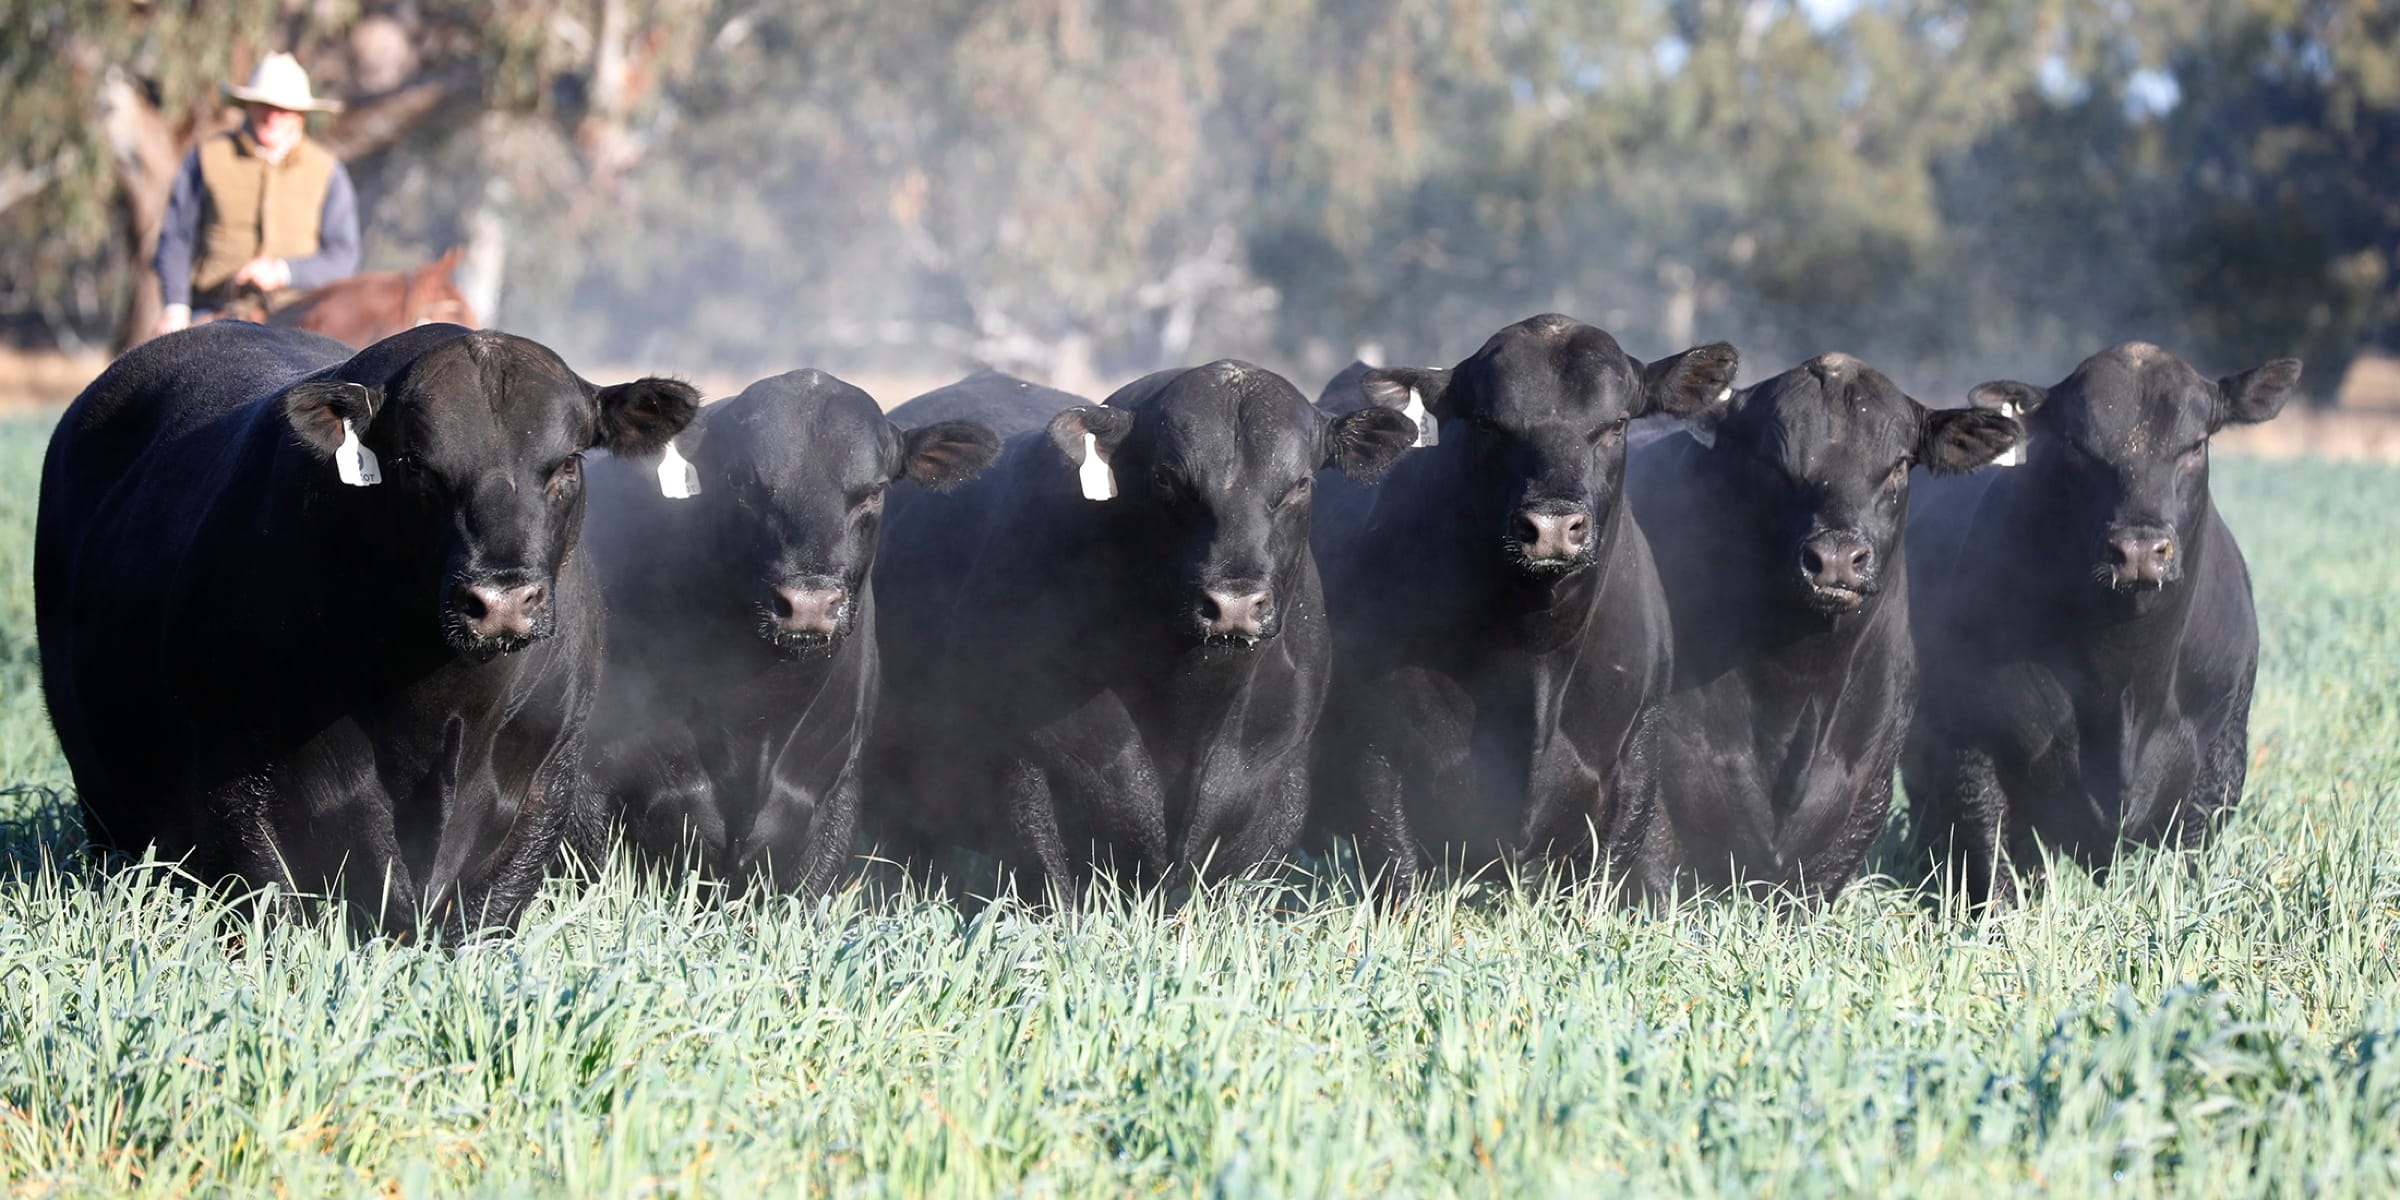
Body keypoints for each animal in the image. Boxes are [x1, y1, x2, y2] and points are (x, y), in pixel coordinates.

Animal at [35, 320, 697, 937]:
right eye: (416, 465)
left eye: (567, 463)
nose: (501, 600)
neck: (442, 714)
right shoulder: (234, 783)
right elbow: (274, 907)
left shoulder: (547, 774)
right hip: (102, 798)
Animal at [868, 363, 1418, 894]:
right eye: (1167, 479)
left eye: (1301, 482)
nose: (1234, 604)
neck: (1191, 711)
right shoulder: (1026, 773)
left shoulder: (1280, 785)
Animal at [1309, 314, 1741, 900]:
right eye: (1488, 423)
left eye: (1617, 423)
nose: (1552, 525)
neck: (1535, 658)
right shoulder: (1377, 762)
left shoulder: (1633, 770)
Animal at [1902, 342, 2300, 906]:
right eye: (2076, 444)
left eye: (2196, 444)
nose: (2138, 550)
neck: (2126, 677)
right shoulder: (1969, 741)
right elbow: (1991, 852)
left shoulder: (2221, 753)